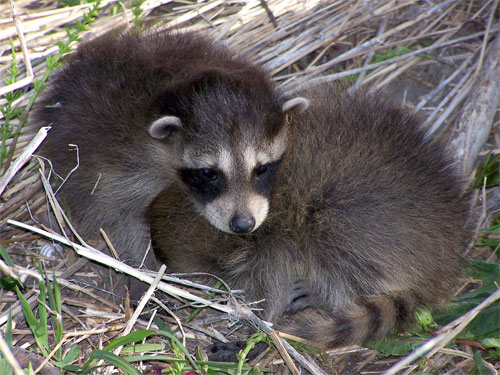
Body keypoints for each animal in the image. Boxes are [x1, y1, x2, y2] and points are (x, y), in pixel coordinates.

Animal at [146, 83, 470, 348]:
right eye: (206, 174)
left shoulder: (273, 237)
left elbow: (273, 282)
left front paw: (263, 320)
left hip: (365, 214)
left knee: (338, 243)